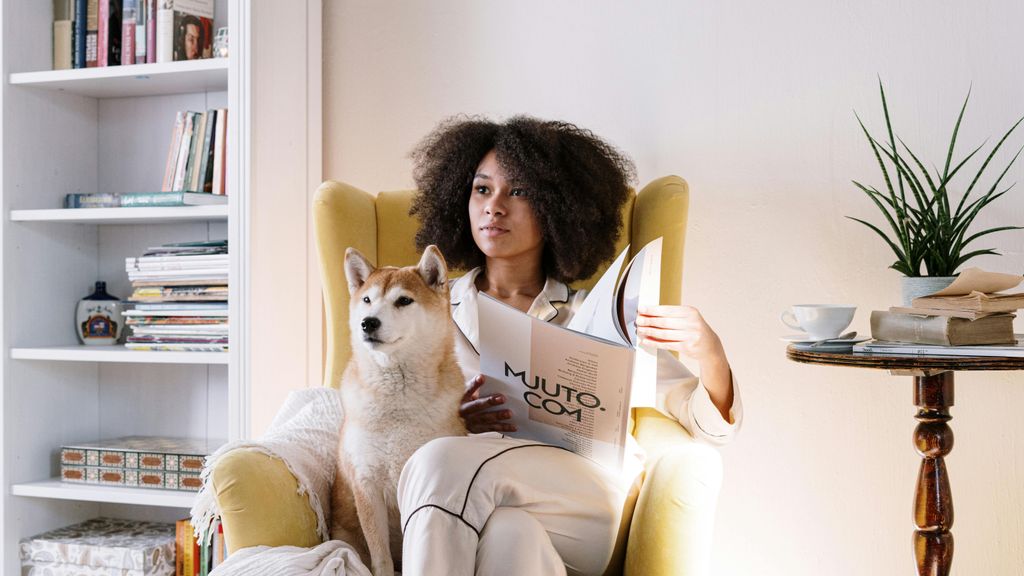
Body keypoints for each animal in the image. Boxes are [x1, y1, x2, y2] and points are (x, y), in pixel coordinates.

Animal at [329, 243, 466, 573]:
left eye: (404, 300)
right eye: (367, 300)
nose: (368, 322)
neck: (397, 404)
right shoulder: (366, 485)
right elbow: (381, 558)